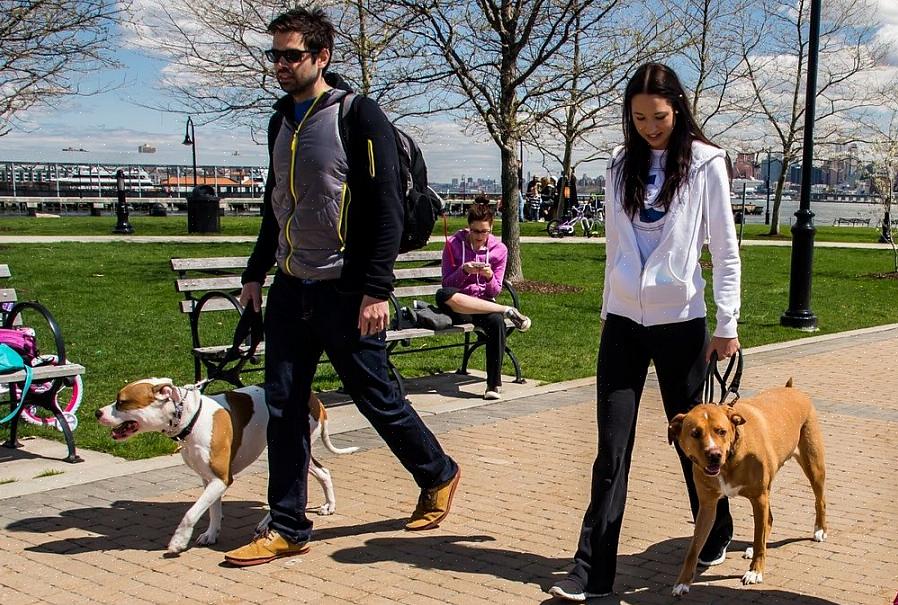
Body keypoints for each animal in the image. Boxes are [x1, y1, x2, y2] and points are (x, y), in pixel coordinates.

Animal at [93, 380, 356, 556]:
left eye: (122, 402)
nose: (97, 412)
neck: (190, 417)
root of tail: (315, 399)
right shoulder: (209, 480)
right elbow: (212, 509)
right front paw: (211, 533)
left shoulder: (220, 479)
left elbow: (191, 513)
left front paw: (178, 541)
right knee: (322, 472)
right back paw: (326, 506)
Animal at [664, 380, 824, 596]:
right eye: (695, 433)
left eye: (721, 431)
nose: (714, 454)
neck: (730, 458)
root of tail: (791, 389)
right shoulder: (707, 506)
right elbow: (694, 547)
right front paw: (682, 581)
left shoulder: (759, 498)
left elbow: (758, 537)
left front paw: (755, 572)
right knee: (769, 520)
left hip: (814, 465)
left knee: (819, 500)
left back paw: (820, 530)